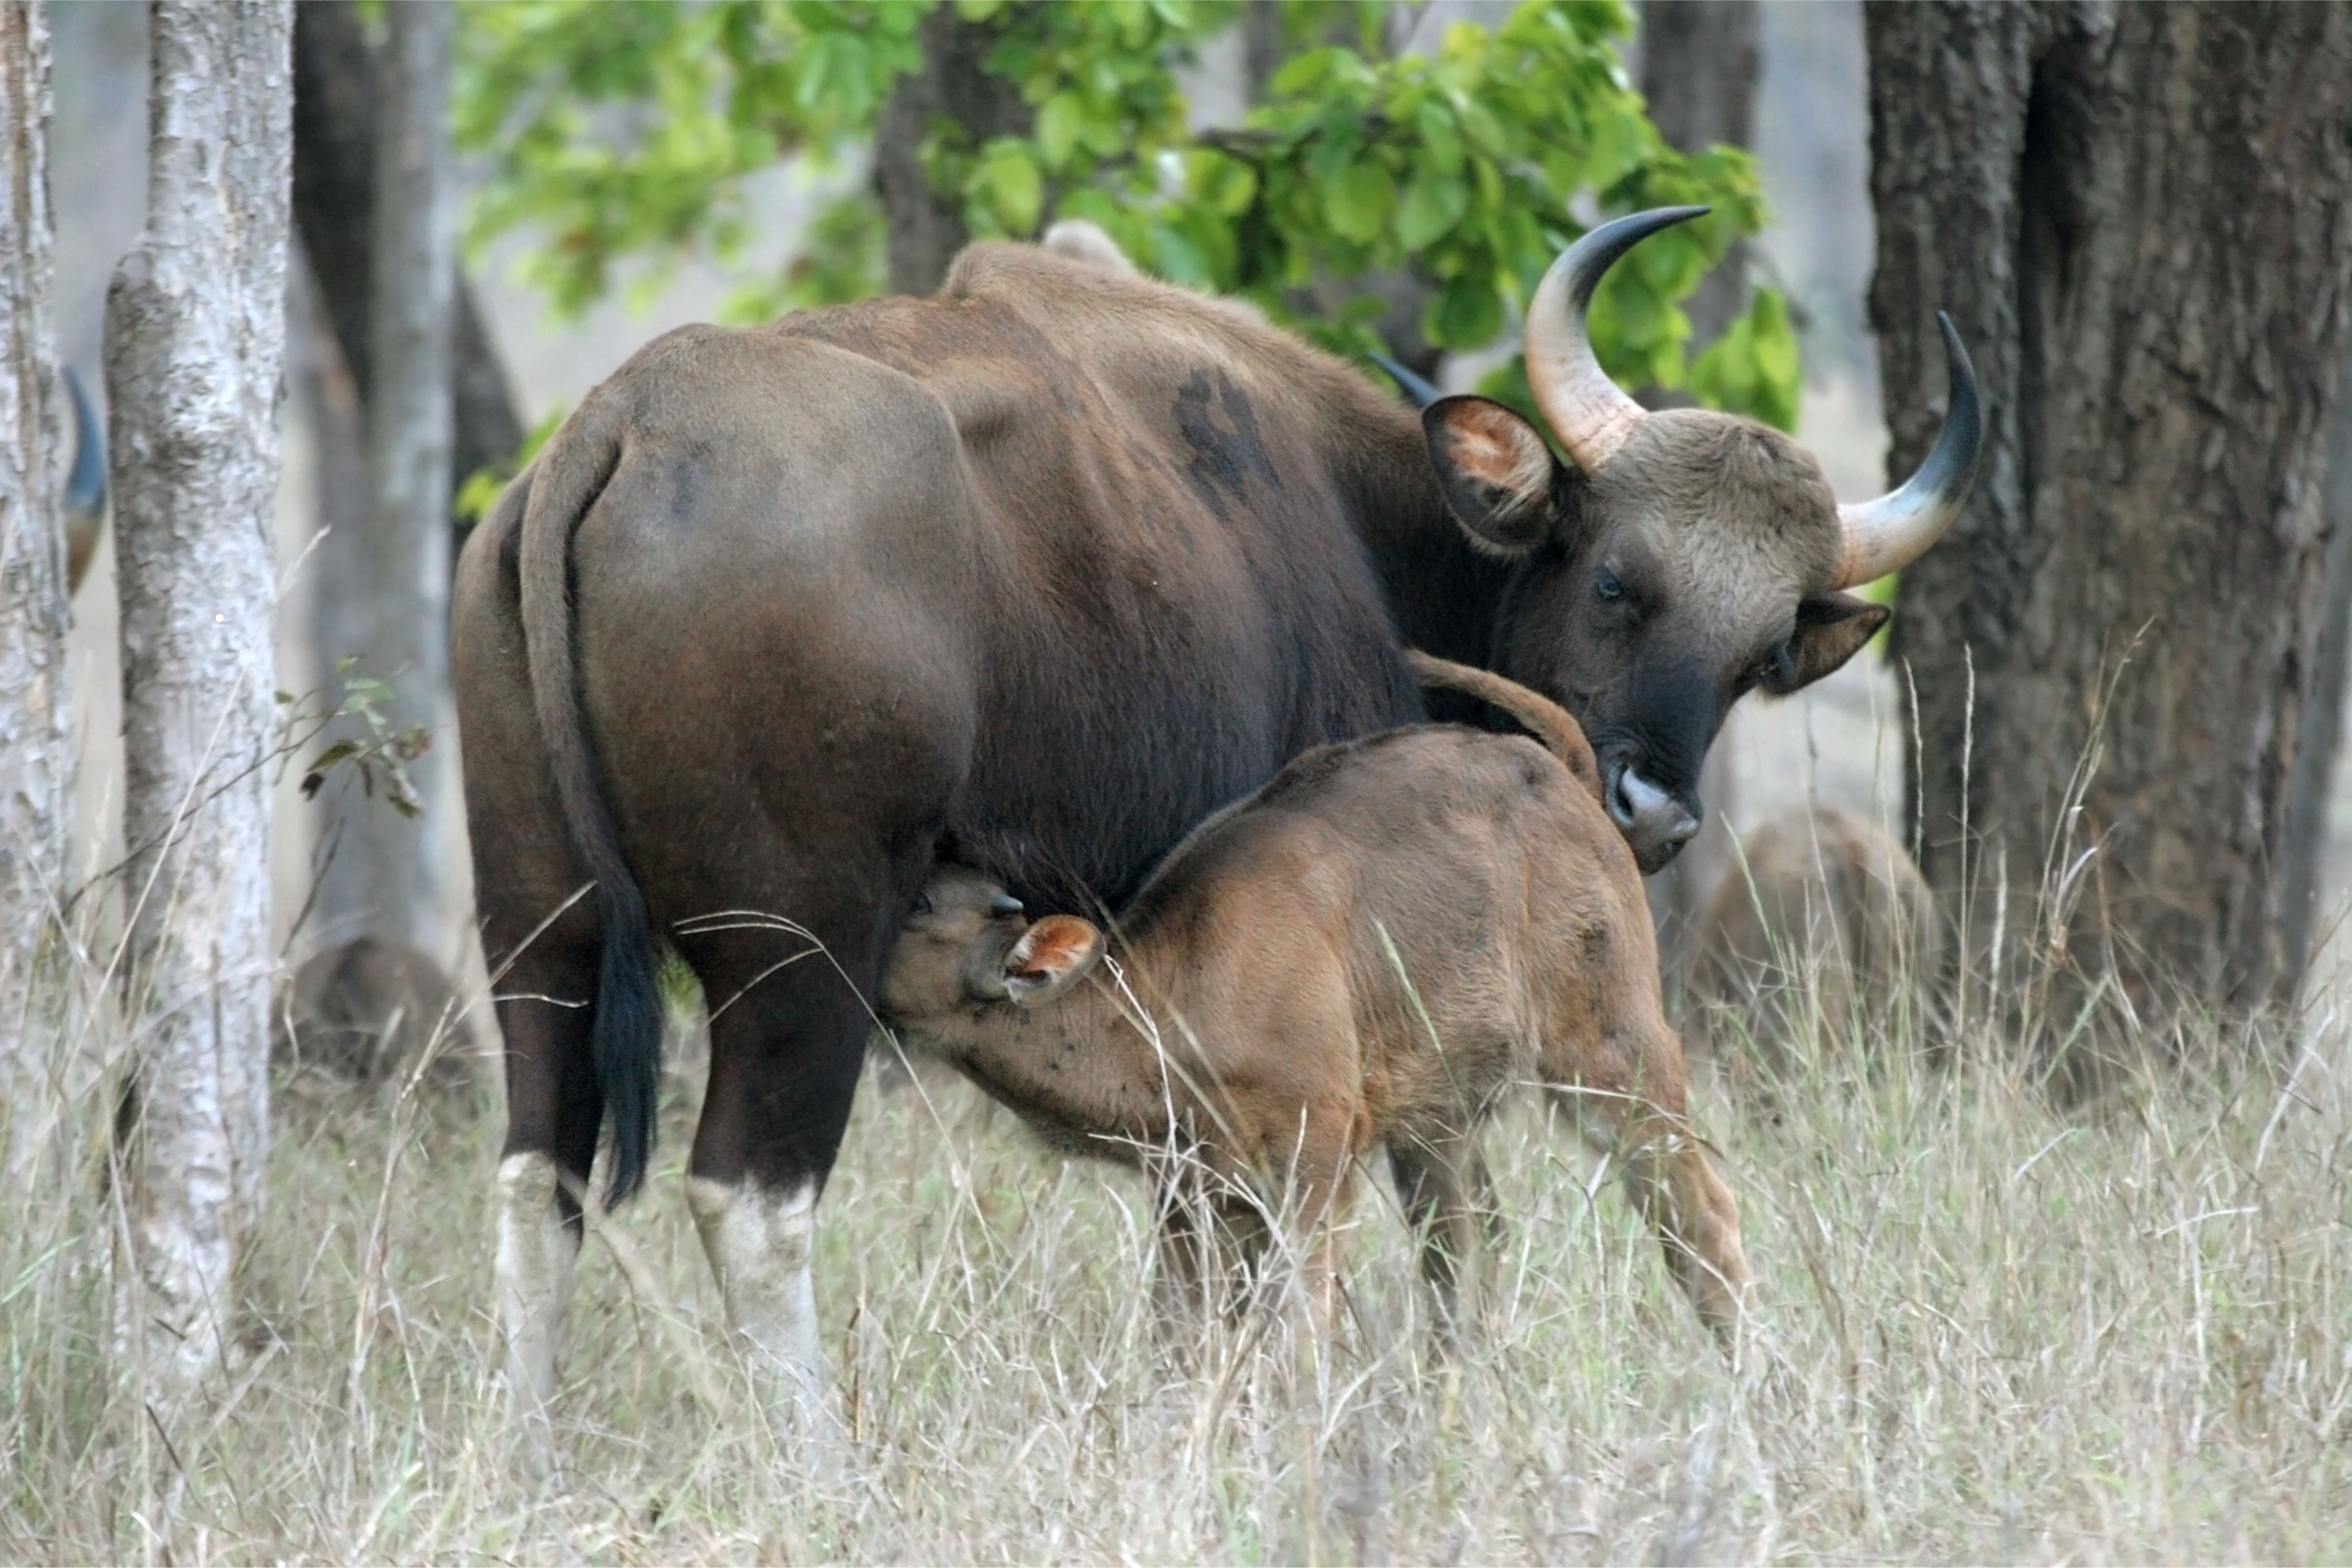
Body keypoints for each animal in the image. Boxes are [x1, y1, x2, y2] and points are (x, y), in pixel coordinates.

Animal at [884, 658, 1750, 1345]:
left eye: (922, 905)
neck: (1170, 984)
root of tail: (1567, 777)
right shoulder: (1195, 1200)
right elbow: (1185, 1333)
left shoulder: (1316, 1169)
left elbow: (1300, 1328)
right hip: (1440, 1124)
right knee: (1465, 1254)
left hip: (1614, 1061)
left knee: (1700, 1213)